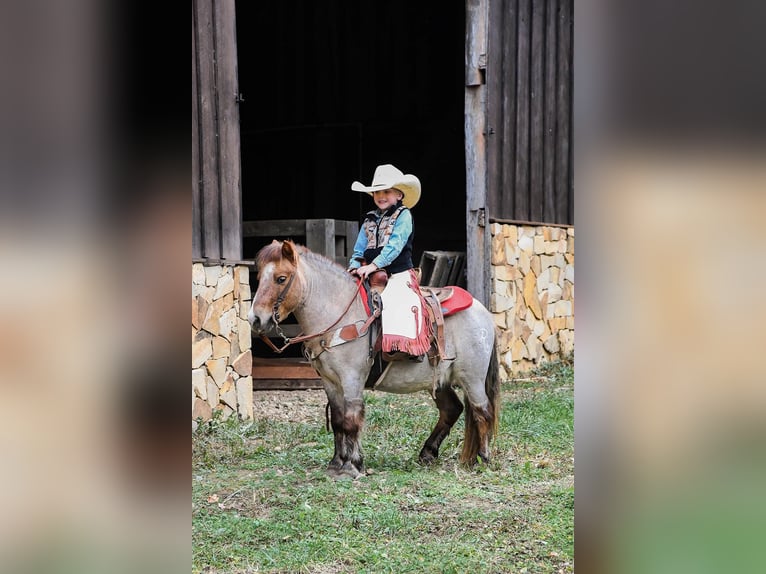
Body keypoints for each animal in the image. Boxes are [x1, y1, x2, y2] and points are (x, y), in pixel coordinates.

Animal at [249, 241, 500, 480]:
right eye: (259, 278)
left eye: (281, 278)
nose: (255, 319)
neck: (341, 314)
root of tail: (483, 311)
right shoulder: (330, 381)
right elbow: (338, 420)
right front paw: (336, 464)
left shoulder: (351, 379)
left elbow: (351, 419)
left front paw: (351, 466)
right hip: (440, 380)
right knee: (452, 409)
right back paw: (428, 453)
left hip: (472, 378)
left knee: (482, 411)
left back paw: (483, 458)